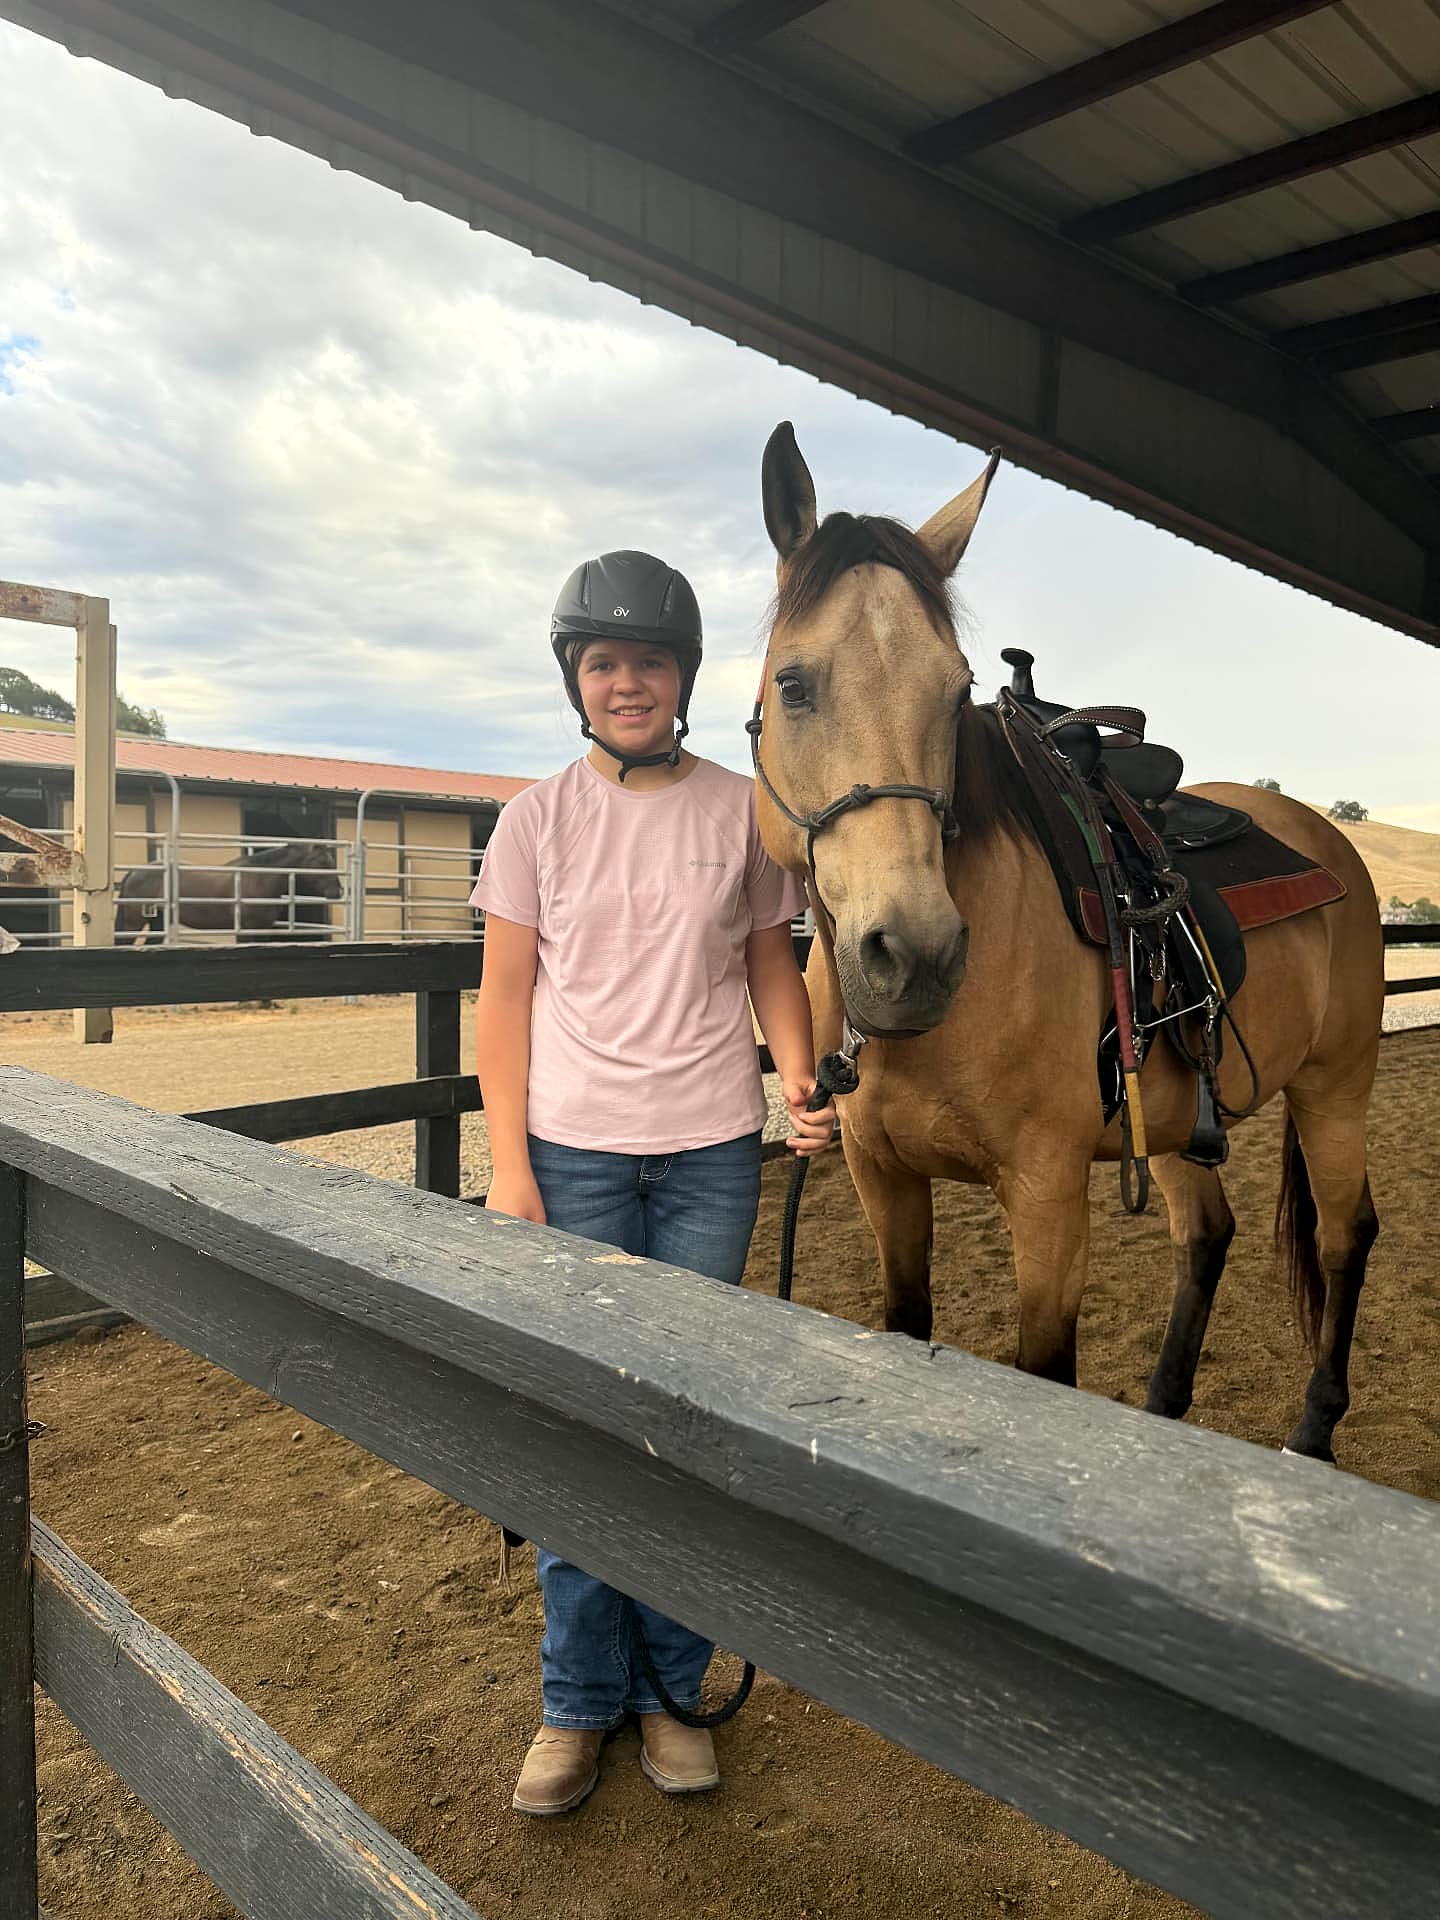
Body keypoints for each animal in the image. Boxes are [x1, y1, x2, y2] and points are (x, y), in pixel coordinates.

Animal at [115, 841, 343, 944]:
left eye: (332, 862)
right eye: (321, 863)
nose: (337, 892)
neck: (260, 878)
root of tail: (134, 871)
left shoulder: (263, 929)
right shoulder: (246, 930)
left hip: (157, 922)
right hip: (133, 923)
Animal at [753, 422, 1384, 1463]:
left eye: (956, 690)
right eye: (793, 685)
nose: (915, 957)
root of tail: (1327, 840)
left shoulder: (1047, 1196)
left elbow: (1045, 1374)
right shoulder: (884, 1180)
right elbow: (905, 1323)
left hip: (1335, 1085)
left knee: (1344, 1236)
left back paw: (1314, 1428)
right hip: (1177, 1122)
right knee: (1207, 1234)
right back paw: (1165, 1405)